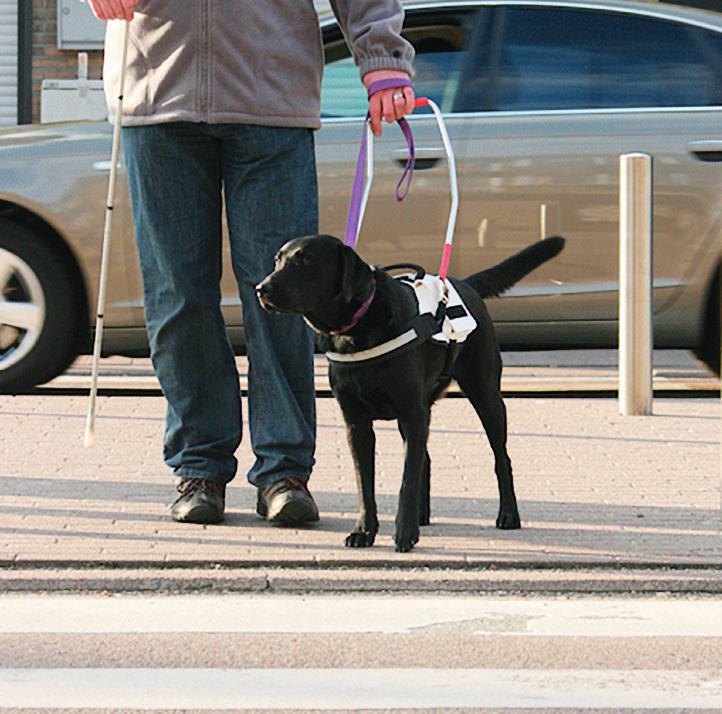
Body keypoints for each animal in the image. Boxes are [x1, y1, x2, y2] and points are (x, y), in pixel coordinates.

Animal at [256, 234, 564, 552]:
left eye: (305, 261)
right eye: (277, 260)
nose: (261, 288)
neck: (357, 328)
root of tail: (465, 284)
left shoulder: (411, 414)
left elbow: (407, 481)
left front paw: (405, 533)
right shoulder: (358, 424)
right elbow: (365, 483)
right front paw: (364, 530)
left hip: (486, 395)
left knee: (501, 458)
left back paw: (508, 514)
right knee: (424, 460)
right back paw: (422, 516)